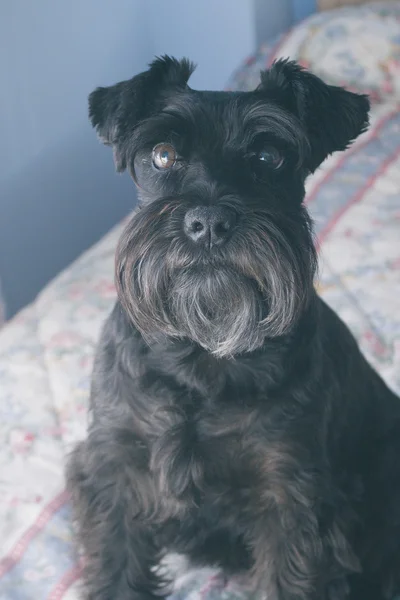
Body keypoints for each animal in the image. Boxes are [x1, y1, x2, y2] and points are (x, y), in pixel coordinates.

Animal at [66, 57, 400, 600]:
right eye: (162, 155)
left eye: (269, 156)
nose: (208, 222)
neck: (202, 353)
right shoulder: (114, 471)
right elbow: (117, 570)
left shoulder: (289, 499)